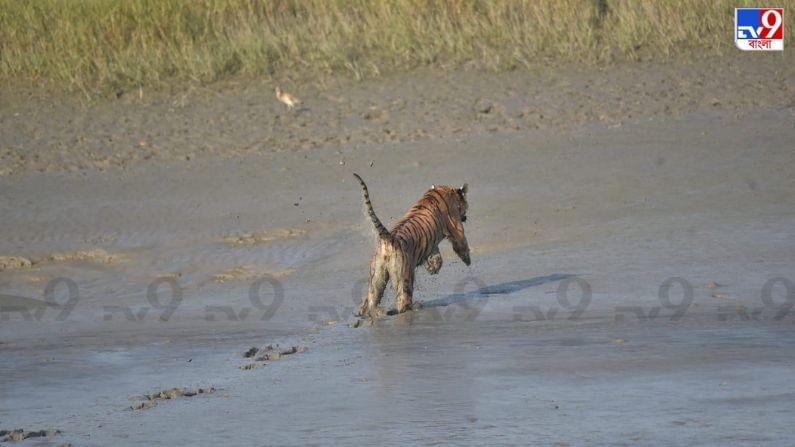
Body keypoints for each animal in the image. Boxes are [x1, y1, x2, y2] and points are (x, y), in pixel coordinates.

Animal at [352, 173, 470, 320]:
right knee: (402, 303)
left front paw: (433, 268)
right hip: (404, 278)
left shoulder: (431, 243)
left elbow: (436, 256)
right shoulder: (456, 226)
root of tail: (389, 239)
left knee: (371, 300)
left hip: (377, 276)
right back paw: (412, 307)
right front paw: (467, 260)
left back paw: (368, 313)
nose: (466, 216)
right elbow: (462, 242)